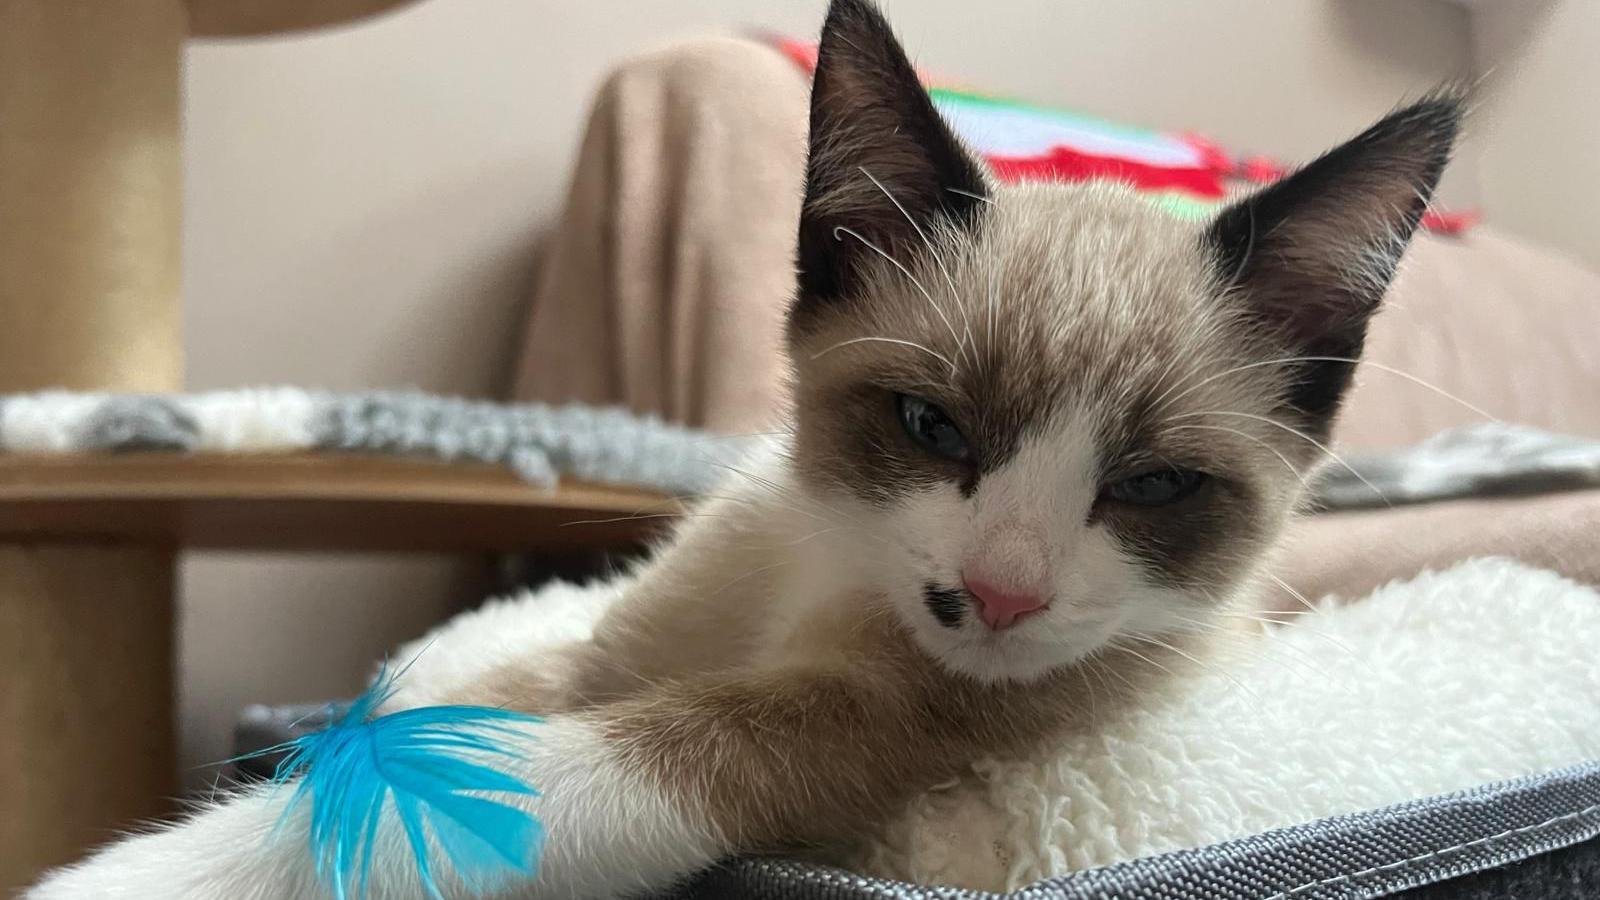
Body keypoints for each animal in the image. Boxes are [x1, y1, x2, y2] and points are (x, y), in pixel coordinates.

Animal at [28, 0, 1465, 890]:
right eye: (930, 425)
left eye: (1153, 485)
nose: (999, 598)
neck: (824, 573)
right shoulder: (619, 646)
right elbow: (473, 704)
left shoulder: (879, 723)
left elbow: (517, 779)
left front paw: (143, 870)